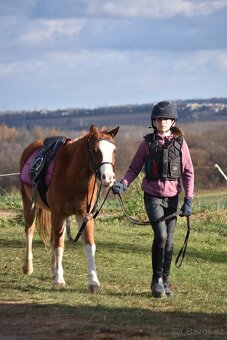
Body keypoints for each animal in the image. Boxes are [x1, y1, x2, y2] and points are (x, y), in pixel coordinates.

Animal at [19, 124, 119, 292]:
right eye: (94, 150)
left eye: (114, 150)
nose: (108, 178)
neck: (72, 175)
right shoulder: (58, 214)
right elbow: (59, 246)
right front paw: (59, 280)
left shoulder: (85, 216)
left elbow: (89, 246)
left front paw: (94, 282)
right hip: (29, 205)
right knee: (30, 232)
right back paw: (28, 267)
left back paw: (53, 270)